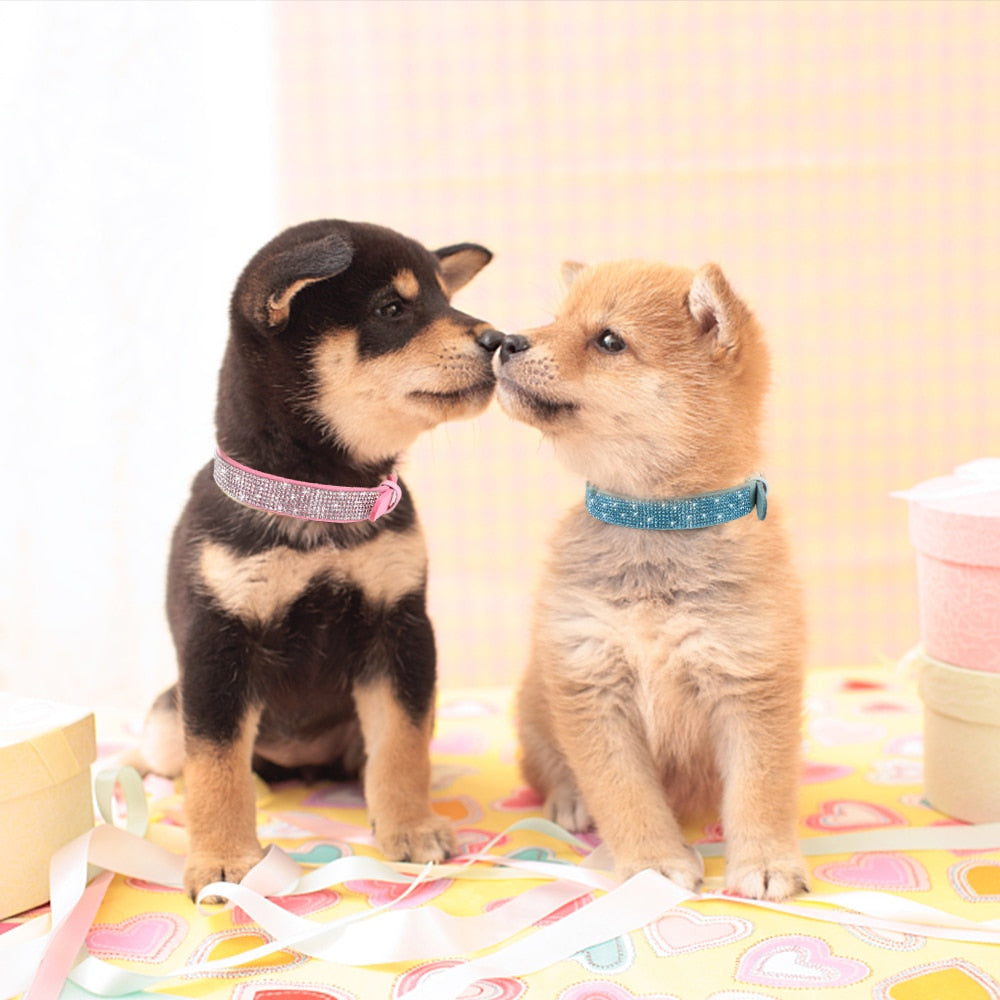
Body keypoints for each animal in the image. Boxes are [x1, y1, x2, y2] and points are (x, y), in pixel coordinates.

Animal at [141, 221, 500, 900]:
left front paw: (410, 827)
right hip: (164, 718)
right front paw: (222, 859)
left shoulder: (400, 628)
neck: (323, 498)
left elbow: (402, 747)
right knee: (188, 760)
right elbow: (216, 766)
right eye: (392, 310)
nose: (501, 341)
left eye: (444, 299)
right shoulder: (217, 642)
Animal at [496, 258, 808, 900]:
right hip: (535, 709)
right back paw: (568, 800)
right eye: (556, 320)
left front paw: (765, 861)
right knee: (546, 769)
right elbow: (625, 795)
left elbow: (760, 791)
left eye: (609, 340)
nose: (505, 340)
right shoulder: (590, 679)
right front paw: (653, 864)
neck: (654, 523)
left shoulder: (752, 681)